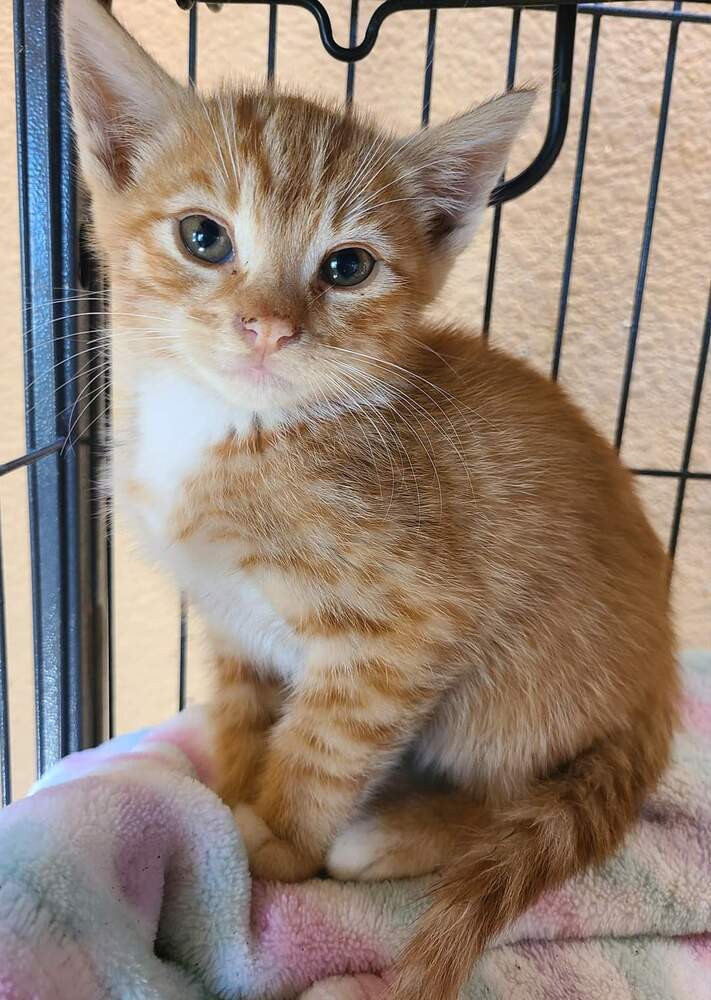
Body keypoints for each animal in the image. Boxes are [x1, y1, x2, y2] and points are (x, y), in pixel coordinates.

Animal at [65, 1, 680, 1000]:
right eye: (204, 238)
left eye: (346, 267)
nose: (268, 327)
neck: (234, 431)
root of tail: (661, 681)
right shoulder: (231, 621)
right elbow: (240, 715)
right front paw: (226, 797)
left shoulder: (408, 628)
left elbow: (324, 746)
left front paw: (275, 841)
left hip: (508, 692)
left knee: (522, 798)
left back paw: (395, 832)